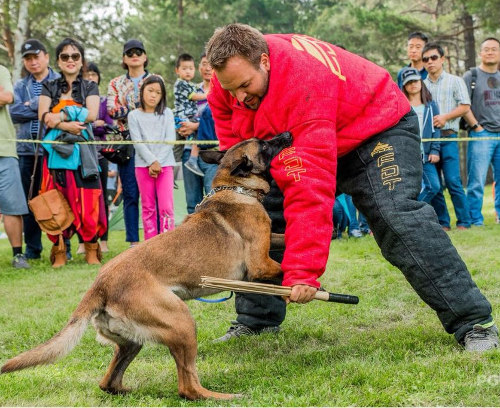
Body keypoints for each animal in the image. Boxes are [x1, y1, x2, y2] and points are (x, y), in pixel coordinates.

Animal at [0, 132, 292, 400]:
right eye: (264, 144)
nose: (287, 134)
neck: (236, 189)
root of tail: (99, 285)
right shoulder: (260, 265)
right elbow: (281, 269)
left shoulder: (270, 242)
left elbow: (286, 238)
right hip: (182, 323)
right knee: (187, 387)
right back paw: (224, 397)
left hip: (132, 342)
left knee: (108, 382)